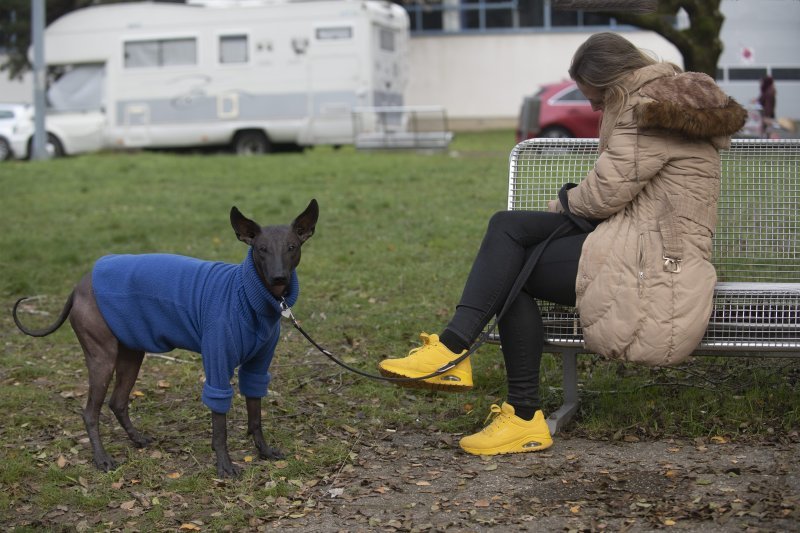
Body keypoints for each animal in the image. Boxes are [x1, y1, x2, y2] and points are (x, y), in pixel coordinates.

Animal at [11, 201, 318, 478]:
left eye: (292, 247)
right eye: (261, 249)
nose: (278, 277)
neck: (250, 296)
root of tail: (79, 286)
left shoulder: (257, 366)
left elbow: (256, 418)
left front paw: (264, 452)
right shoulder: (217, 363)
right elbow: (220, 425)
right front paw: (224, 465)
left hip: (131, 354)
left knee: (117, 402)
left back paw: (137, 439)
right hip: (102, 358)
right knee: (90, 413)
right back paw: (102, 459)